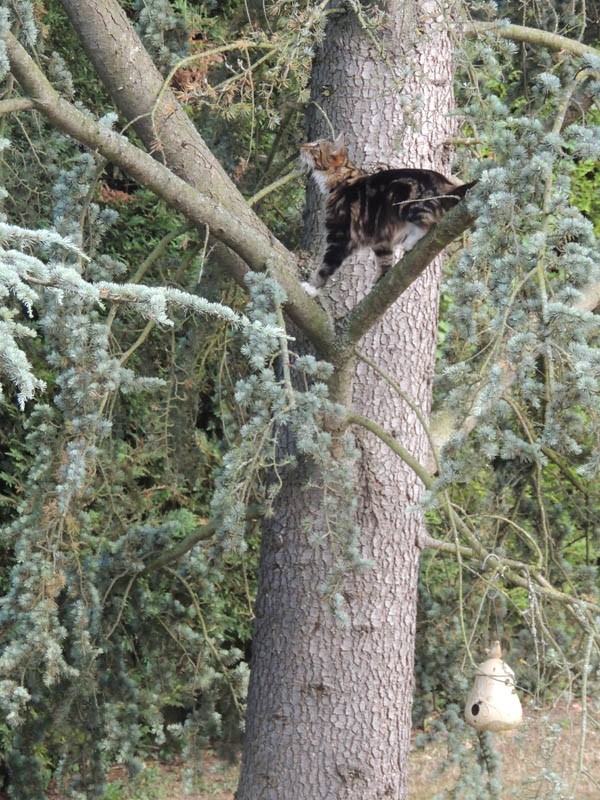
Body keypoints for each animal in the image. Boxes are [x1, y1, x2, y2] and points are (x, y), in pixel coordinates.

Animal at [302, 134, 476, 296]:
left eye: (316, 146)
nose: (302, 146)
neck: (342, 181)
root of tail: (445, 182)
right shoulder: (381, 239)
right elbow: (385, 261)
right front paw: (380, 280)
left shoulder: (339, 236)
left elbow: (326, 267)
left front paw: (312, 288)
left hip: (404, 198)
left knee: (429, 222)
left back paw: (411, 241)